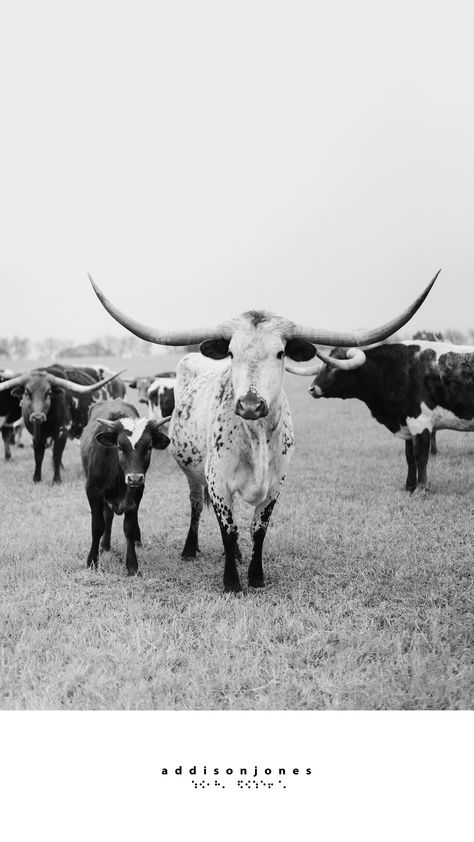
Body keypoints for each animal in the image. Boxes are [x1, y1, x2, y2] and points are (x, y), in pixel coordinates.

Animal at [80, 398, 169, 572]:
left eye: (149, 447)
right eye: (120, 447)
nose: (134, 478)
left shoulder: (137, 493)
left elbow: (129, 527)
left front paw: (132, 565)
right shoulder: (92, 491)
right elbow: (97, 525)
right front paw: (92, 560)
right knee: (107, 516)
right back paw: (105, 546)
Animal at [286, 336, 474, 492]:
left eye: (334, 368)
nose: (312, 389)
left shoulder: (421, 422)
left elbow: (420, 456)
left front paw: (421, 489)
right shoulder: (406, 422)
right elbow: (409, 456)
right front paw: (409, 487)